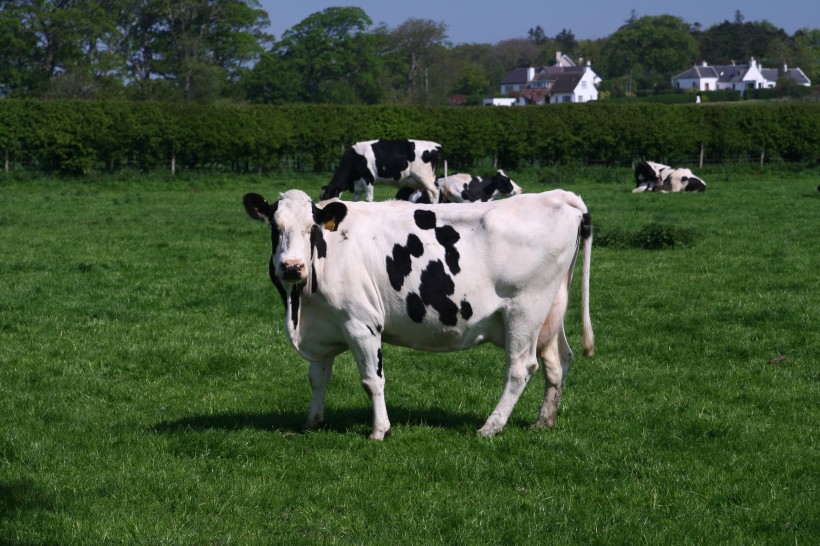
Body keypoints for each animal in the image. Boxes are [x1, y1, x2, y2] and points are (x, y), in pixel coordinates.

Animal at [243, 187, 596, 438]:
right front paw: (312, 421)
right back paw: (544, 421)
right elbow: (318, 377)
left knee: (521, 368)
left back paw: (491, 426)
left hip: (525, 310)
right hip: (551, 311)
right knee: (558, 360)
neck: (300, 309)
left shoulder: (361, 324)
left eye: (311, 228)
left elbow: (372, 380)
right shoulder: (324, 326)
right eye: (276, 227)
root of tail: (557, 196)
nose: (292, 266)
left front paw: (380, 430)